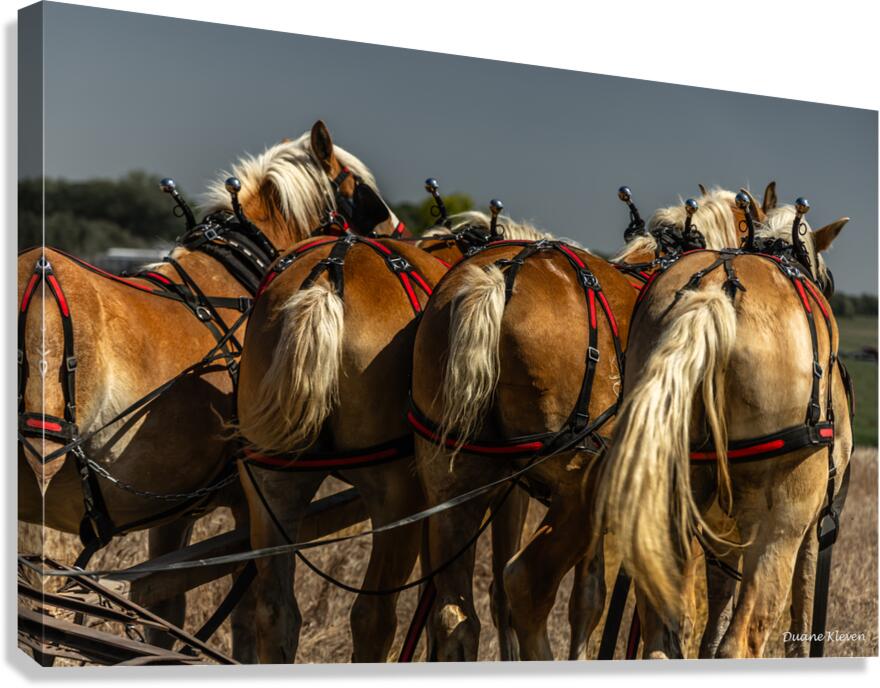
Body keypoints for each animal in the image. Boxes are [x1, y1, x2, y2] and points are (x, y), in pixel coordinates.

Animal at [17, 120, 400, 661]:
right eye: (362, 191)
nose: (398, 237)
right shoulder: (248, 503)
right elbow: (246, 614)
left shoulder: (169, 508)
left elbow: (163, 607)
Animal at [595, 195, 851, 658]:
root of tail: (714, 294)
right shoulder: (810, 522)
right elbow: (803, 603)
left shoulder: (723, 528)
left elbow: (713, 607)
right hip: (784, 516)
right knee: (744, 637)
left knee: (664, 633)